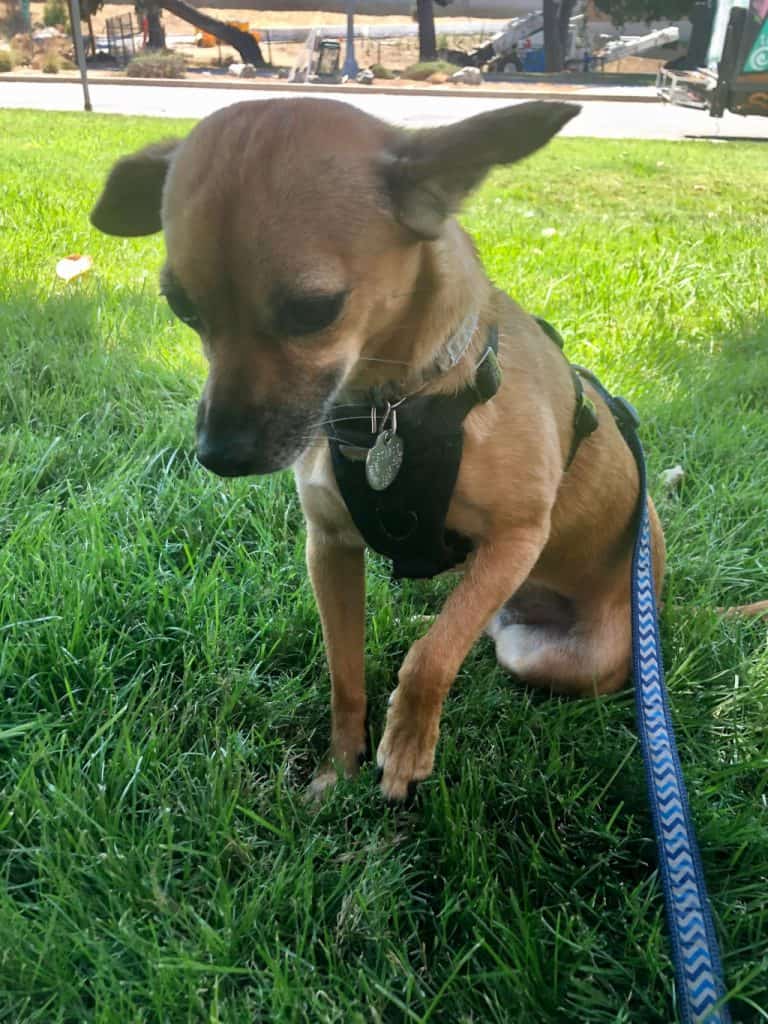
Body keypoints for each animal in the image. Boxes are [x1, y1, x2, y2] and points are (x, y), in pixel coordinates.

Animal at [88, 97, 667, 798]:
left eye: (314, 310)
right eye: (180, 307)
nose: (217, 454)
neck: (390, 405)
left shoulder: (518, 538)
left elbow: (430, 660)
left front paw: (407, 749)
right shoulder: (330, 549)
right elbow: (346, 674)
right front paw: (339, 768)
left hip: (547, 656)